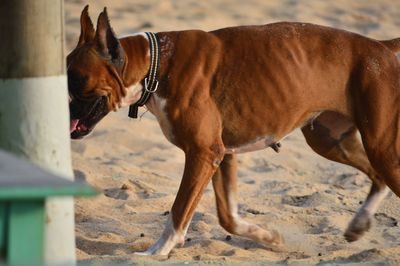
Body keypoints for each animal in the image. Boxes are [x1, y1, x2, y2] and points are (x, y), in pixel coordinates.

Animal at [68, 5, 400, 256]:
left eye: (77, 81)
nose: (64, 112)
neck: (156, 63)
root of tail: (380, 47)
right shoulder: (222, 155)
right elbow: (229, 219)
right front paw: (269, 238)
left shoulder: (203, 154)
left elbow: (178, 210)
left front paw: (157, 252)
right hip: (330, 141)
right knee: (377, 176)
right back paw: (358, 225)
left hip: (380, 146)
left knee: (383, 173)